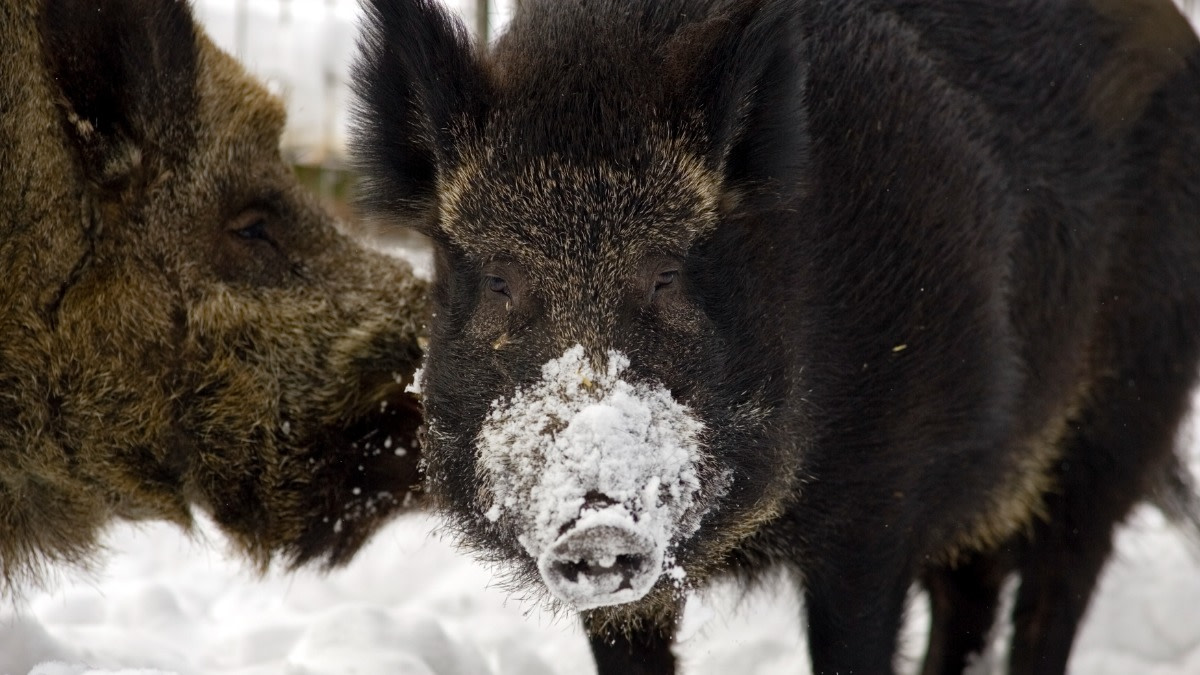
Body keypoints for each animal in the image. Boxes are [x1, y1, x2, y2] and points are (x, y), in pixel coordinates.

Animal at [350, 0, 1200, 673]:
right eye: (501, 280)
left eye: (666, 274)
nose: (598, 519)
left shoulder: (885, 494)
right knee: (972, 592)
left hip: (1123, 412)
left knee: (1057, 582)